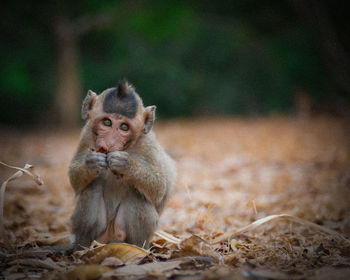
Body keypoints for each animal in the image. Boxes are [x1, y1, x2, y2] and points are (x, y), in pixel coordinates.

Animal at [69, 79, 176, 247]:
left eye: (124, 127)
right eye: (107, 122)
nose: (110, 143)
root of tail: (110, 237)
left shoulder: (147, 144)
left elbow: (159, 188)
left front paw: (125, 164)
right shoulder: (86, 134)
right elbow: (75, 180)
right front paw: (92, 163)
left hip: (122, 233)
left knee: (137, 195)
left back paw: (137, 247)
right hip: (99, 233)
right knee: (91, 189)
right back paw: (82, 246)